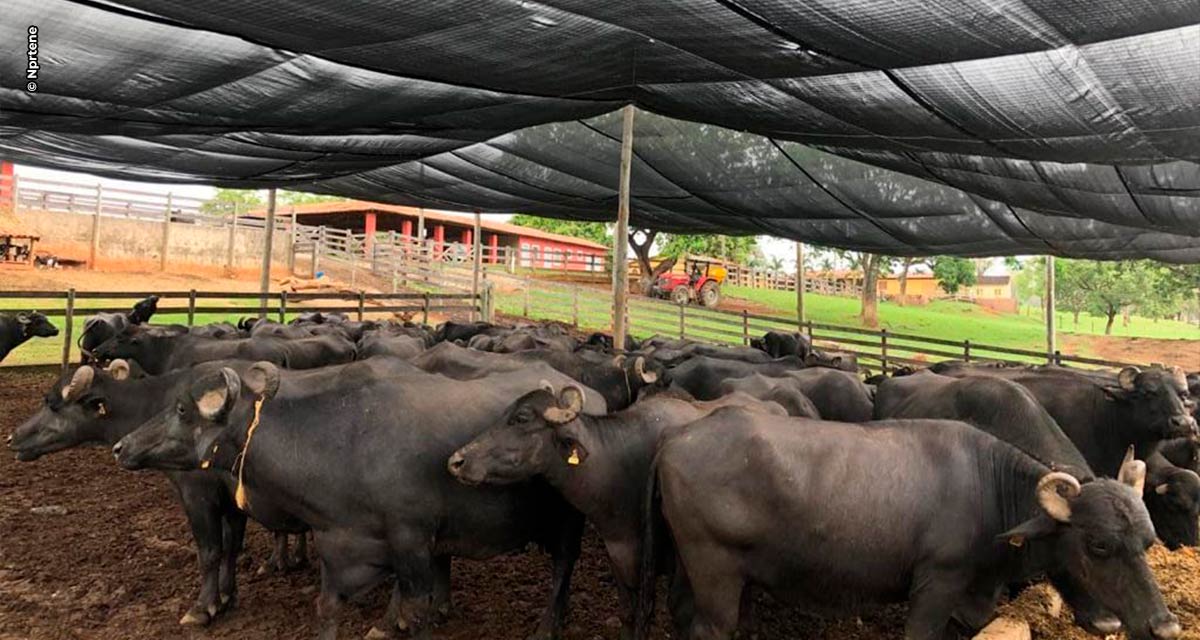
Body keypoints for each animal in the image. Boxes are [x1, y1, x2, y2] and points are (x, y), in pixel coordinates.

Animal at [112, 365, 600, 638]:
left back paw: (549, 624)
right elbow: (327, 608)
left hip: (570, 521)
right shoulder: (339, 545)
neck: (348, 446)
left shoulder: (412, 543)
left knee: (564, 563)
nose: (122, 446)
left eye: (181, 410)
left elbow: (416, 612)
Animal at [446, 381, 782, 633]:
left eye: (522, 419)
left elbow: (656, 613)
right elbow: (628, 613)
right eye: (506, 412)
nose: (457, 461)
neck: (620, 467)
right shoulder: (618, 555)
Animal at [638, 408, 1180, 638]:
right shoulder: (936, 586)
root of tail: (677, 437)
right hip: (716, 572)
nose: (1165, 627)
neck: (988, 492)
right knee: (710, 628)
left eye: (1148, 541)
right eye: (1099, 544)